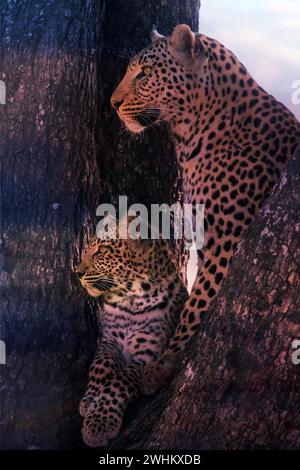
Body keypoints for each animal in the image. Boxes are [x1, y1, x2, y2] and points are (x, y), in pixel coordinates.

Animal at [110, 23, 300, 394]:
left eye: (144, 73)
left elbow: (198, 301)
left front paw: (164, 361)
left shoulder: (226, 240)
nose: (113, 103)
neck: (191, 134)